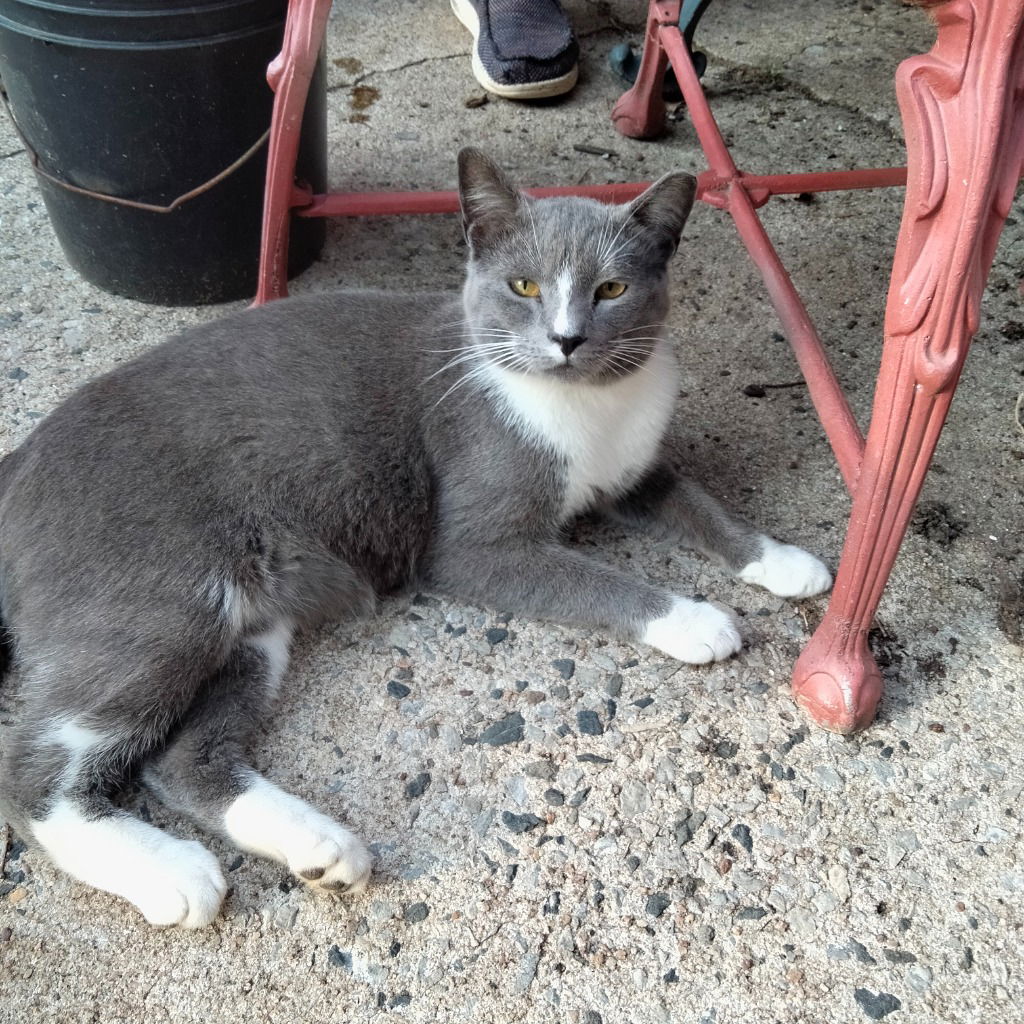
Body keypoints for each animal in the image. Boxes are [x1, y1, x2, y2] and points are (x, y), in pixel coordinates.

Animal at [0, 149, 831, 929]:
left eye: (612, 291)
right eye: (524, 287)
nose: (566, 339)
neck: (586, 408)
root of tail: (18, 461)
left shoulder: (635, 474)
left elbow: (700, 503)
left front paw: (785, 562)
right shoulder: (473, 546)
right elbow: (600, 580)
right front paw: (694, 618)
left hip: (251, 627)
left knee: (179, 759)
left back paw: (319, 847)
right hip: (166, 604)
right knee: (34, 768)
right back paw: (172, 874)